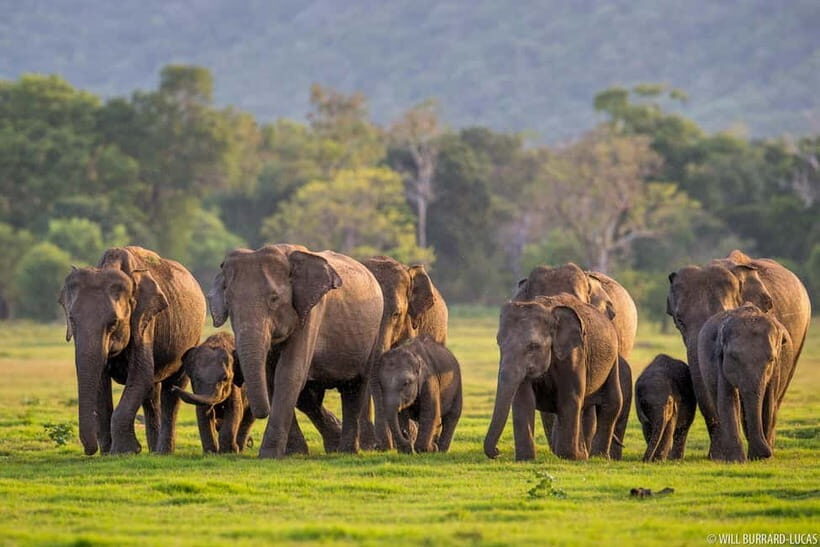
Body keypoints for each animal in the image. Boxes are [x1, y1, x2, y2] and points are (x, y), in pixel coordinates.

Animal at [58, 246, 206, 455]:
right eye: (72, 320)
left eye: (113, 322)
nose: (90, 450)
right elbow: (101, 382)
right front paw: (108, 453)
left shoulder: (145, 320)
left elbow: (140, 375)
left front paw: (125, 452)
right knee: (152, 393)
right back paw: (153, 452)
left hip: (193, 337)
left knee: (172, 389)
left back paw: (162, 452)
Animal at [209, 244, 383, 458]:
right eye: (228, 302)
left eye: (274, 299)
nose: (261, 413)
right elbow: (272, 377)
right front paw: (294, 453)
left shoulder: (312, 312)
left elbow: (289, 373)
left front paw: (269, 455)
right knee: (310, 397)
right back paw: (333, 444)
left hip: (373, 334)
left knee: (355, 387)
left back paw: (346, 451)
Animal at [484, 294, 622, 461]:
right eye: (500, 343)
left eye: (533, 346)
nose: (498, 451)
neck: (548, 310)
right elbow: (523, 399)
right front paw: (526, 459)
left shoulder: (575, 353)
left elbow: (570, 396)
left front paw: (570, 457)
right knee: (585, 408)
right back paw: (584, 454)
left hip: (613, 359)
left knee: (612, 402)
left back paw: (597, 457)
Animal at [697, 303, 795, 461]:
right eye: (733, 357)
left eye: (771, 359)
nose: (766, 453)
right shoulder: (720, 359)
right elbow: (727, 398)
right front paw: (735, 460)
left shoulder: (776, 367)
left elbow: (768, 401)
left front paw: (761, 457)